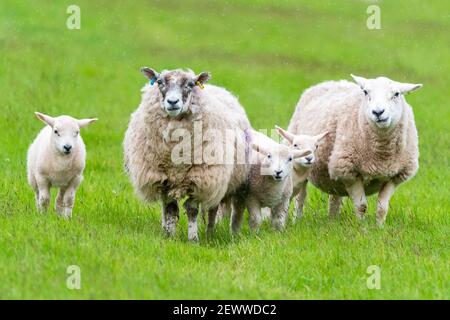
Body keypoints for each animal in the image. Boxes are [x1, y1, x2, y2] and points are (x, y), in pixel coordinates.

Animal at [124, 69, 250, 241]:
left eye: (190, 84)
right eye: (160, 82)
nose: (172, 102)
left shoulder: (200, 179)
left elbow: (192, 210)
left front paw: (193, 239)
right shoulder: (164, 179)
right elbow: (170, 209)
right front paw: (169, 236)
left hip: (217, 180)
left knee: (213, 208)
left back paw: (211, 231)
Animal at [288, 75, 422, 225]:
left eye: (396, 94)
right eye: (365, 92)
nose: (378, 112)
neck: (382, 155)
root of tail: (329, 82)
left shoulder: (395, 176)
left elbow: (382, 207)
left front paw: (379, 227)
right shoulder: (349, 173)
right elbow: (361, 206)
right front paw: (361, 226)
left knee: (334, 198)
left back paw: (332, 222)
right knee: (300, 197)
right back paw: (296, 220)